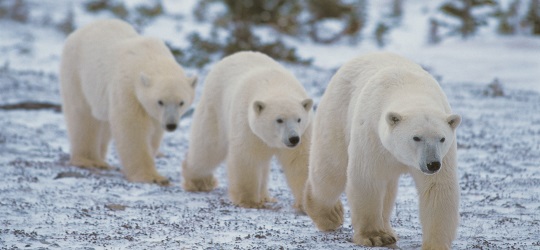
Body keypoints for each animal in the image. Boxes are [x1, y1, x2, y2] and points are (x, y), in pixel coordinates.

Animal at [61, 19, 196, 186]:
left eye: (181, 102)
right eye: (160, 101)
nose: (171, 125)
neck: (150, 58)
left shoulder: (154, 114)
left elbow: (153, 132)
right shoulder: (128, 88)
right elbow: (132, 128)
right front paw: (152, 177)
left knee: (105, 123)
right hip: (76, 72)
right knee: (82, 116)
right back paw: (89, 160)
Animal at [184, 50, 314, 209]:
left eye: (299, 119)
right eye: (279, 120)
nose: (293, 138)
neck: (275, 84)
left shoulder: (304, 132)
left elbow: (300, 161)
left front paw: (305, 204)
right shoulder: (247, 125)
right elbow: (246, 157)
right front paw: (249, 200)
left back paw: (265, 196)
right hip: (215, 107)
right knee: (208, 148)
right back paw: (199, 181)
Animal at [304, 51, 460, 249]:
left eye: (442, 138)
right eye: (416, 137)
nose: (432, 164)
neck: (409, 88)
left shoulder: (444, 155)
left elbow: (437, 188)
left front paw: (435, 244)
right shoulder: (372, 135)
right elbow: (368, 179)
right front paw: (374, 237)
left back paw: (388, 230)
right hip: (337, 113)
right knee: (331, 169)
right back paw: (330, 215)